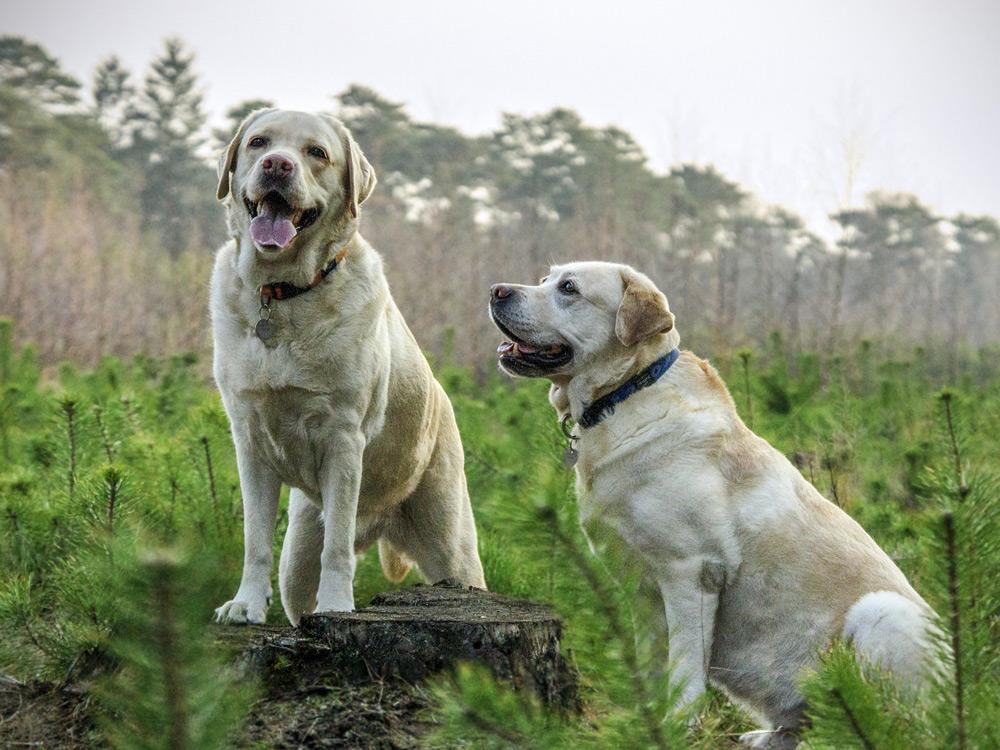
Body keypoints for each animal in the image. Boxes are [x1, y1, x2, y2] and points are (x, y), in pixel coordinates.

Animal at [211, 108, 484, 624]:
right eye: (259, 143)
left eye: (317, 152)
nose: (278, 165)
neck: (284, 294)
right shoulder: (250, 440)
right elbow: (254, 540)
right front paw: (245, 604)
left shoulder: (342, 437)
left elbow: (336, 548)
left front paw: (338, 607)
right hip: (297, 554)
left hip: (452, 546)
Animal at [488, 262, 940, 748]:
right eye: (546, 279)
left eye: (569, 288)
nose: (497, 290)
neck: (625, 394)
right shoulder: (642, 589)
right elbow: (652, 661)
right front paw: (645, 720)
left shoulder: (692, 572)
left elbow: (685, 666)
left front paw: (676, 725)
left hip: (881, 612)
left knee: (901, 727)